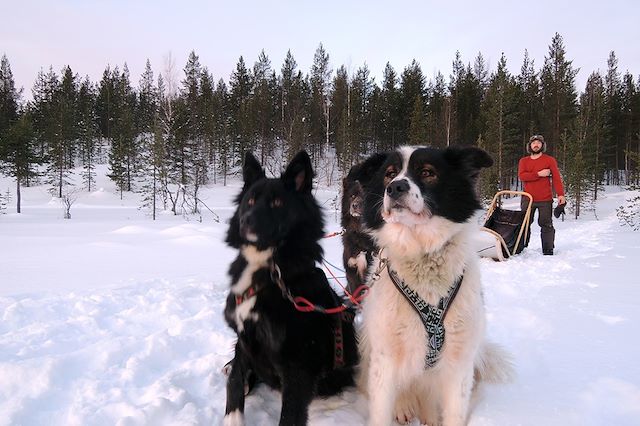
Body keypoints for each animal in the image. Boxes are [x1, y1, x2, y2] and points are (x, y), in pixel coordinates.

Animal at [222, 151, 358, 426]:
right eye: (250, 200)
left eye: (277, 203)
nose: (244, 222)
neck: (271, 274)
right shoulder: (244, 337)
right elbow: (234, 382)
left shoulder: (298, 364)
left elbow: (290, 415)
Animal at [358, 145, 512, 424]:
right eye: (389, 174)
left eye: (428, 172)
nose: (395, 188)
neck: (423, 257)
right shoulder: (384, 358)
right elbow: (381, 410)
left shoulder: (459, 362)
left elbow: (455, 412)